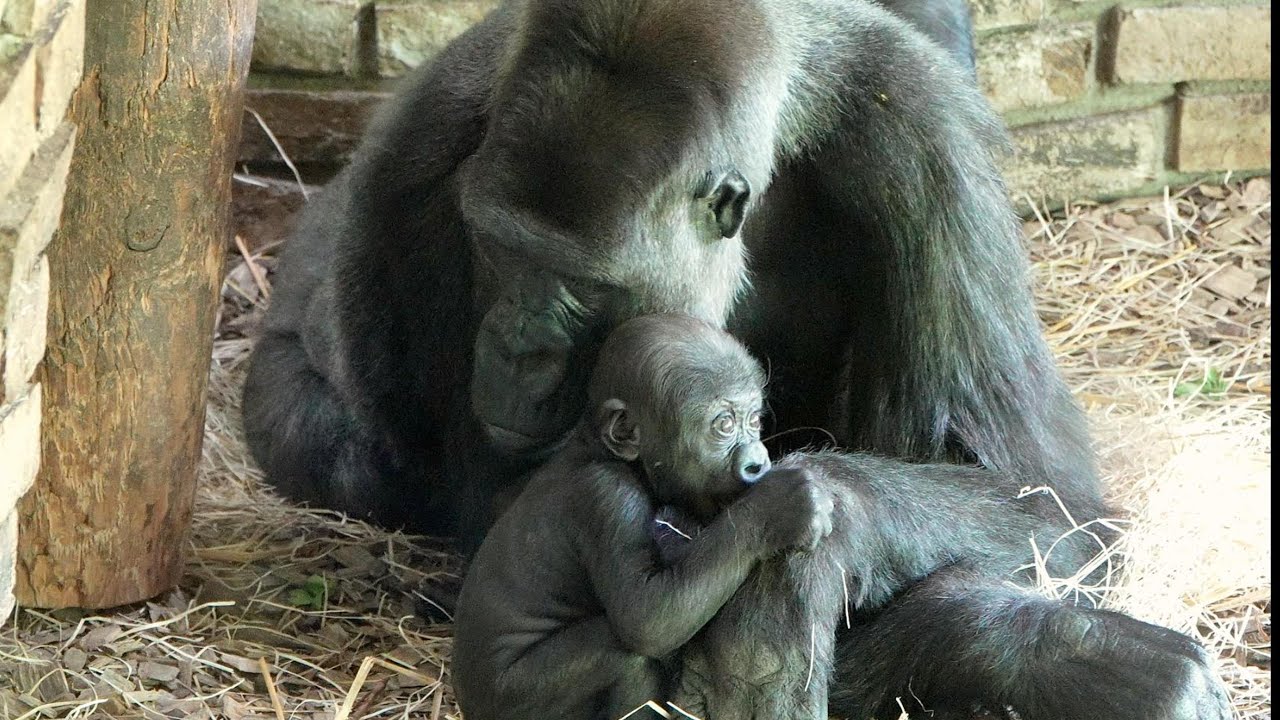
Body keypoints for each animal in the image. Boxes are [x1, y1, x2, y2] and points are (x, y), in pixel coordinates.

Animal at [241, 0, 1232, 716]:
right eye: (495, 248)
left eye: (583, 283)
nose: (517, 348)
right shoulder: (429, 168)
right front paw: (1037, 656)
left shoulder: (925, 142)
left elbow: (1043, 497)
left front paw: (1038, 647)